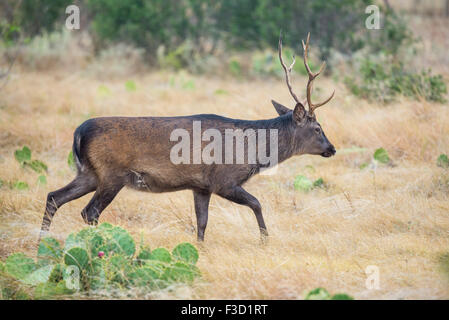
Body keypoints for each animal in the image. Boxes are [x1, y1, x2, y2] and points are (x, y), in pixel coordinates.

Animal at [39, 33, 336, 242]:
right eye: (318, 128)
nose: (332, 149)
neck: (251, 151)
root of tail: (78, 133)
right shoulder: (223, 180)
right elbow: (256, 203)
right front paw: (265, 240)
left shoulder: (200, 186)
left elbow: (202, 223)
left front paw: (200, 249)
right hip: (112, 174)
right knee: (89, 211)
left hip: (89, 173)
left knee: (54, 196)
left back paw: (42, 240)